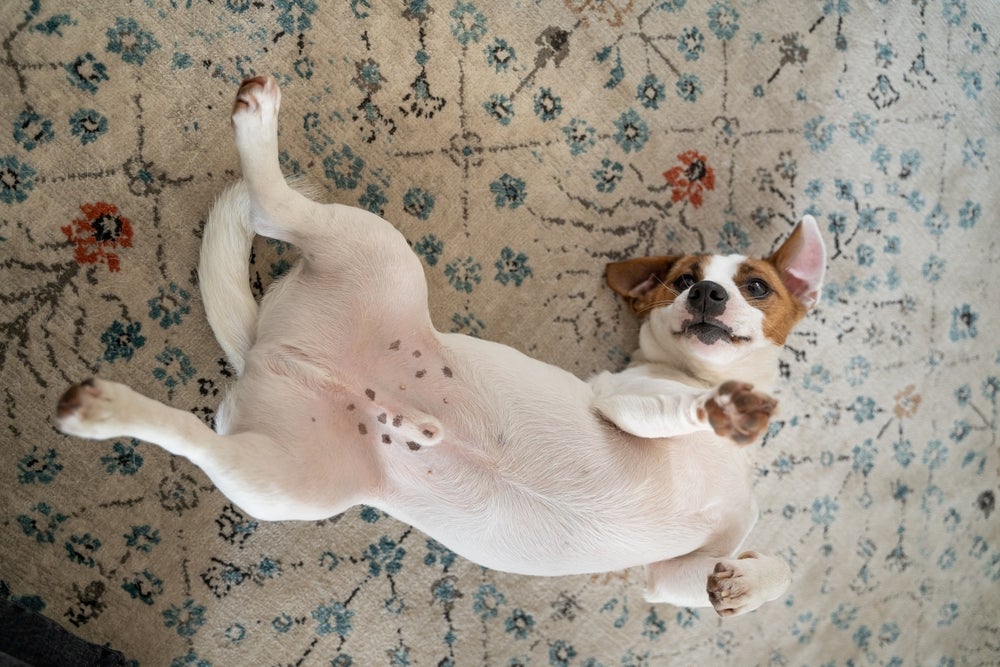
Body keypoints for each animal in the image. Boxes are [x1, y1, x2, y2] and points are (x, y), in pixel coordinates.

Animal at [54, 77, 824, 616]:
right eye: (683, 280)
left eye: (755, 285)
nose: (708, 295)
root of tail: (269, 347)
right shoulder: (622, 397)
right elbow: (676, 406)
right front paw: (720, 409)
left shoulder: (670, 578)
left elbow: (759, 574)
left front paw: (747, 583)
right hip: (379, 249)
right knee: (273, 206)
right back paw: (256, 124)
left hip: (284, 480)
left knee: (194, 438)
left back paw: (104, 407)